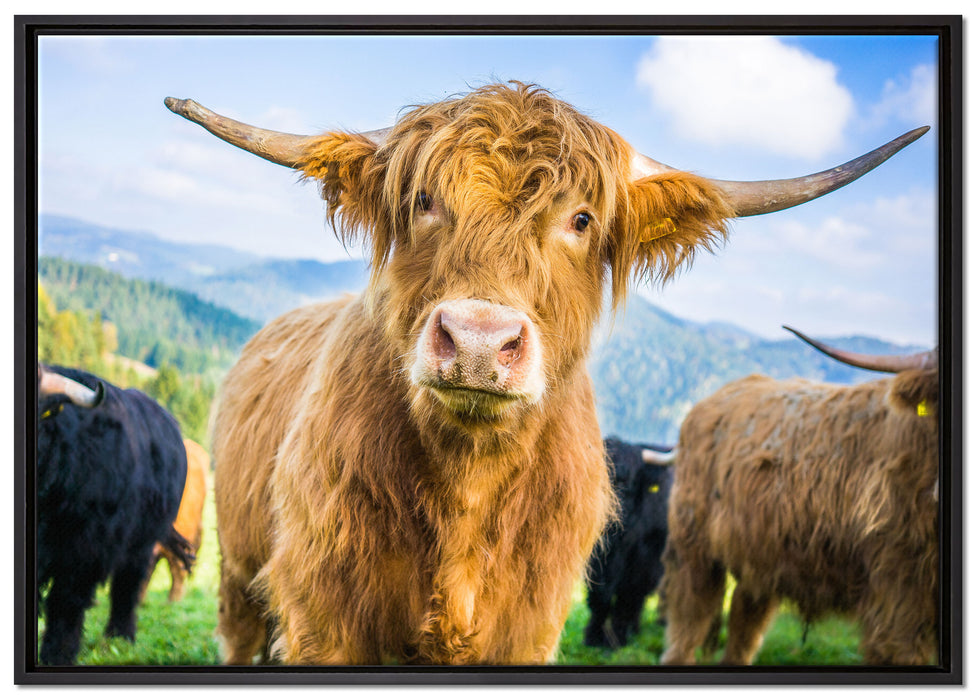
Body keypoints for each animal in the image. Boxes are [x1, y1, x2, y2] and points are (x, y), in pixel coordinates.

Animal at [36, 364, 189, 665]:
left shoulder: (84, 549)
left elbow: (65, 600)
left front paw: (57, 654)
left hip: (141, 543)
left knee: (128, 587)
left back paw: (120, 637)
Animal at [584, 437, 674, 648]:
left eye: (629, 483)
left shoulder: (643, 563)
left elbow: (626, 599)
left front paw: (616, 641)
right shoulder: (597, 562)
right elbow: (599, 598)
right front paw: (593, 637)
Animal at [658, 329, 939, 665]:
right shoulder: (899, 589)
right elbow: (901, 650)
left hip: (759, 557)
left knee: (744, 621)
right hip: (694, 549)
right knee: (689, 621)